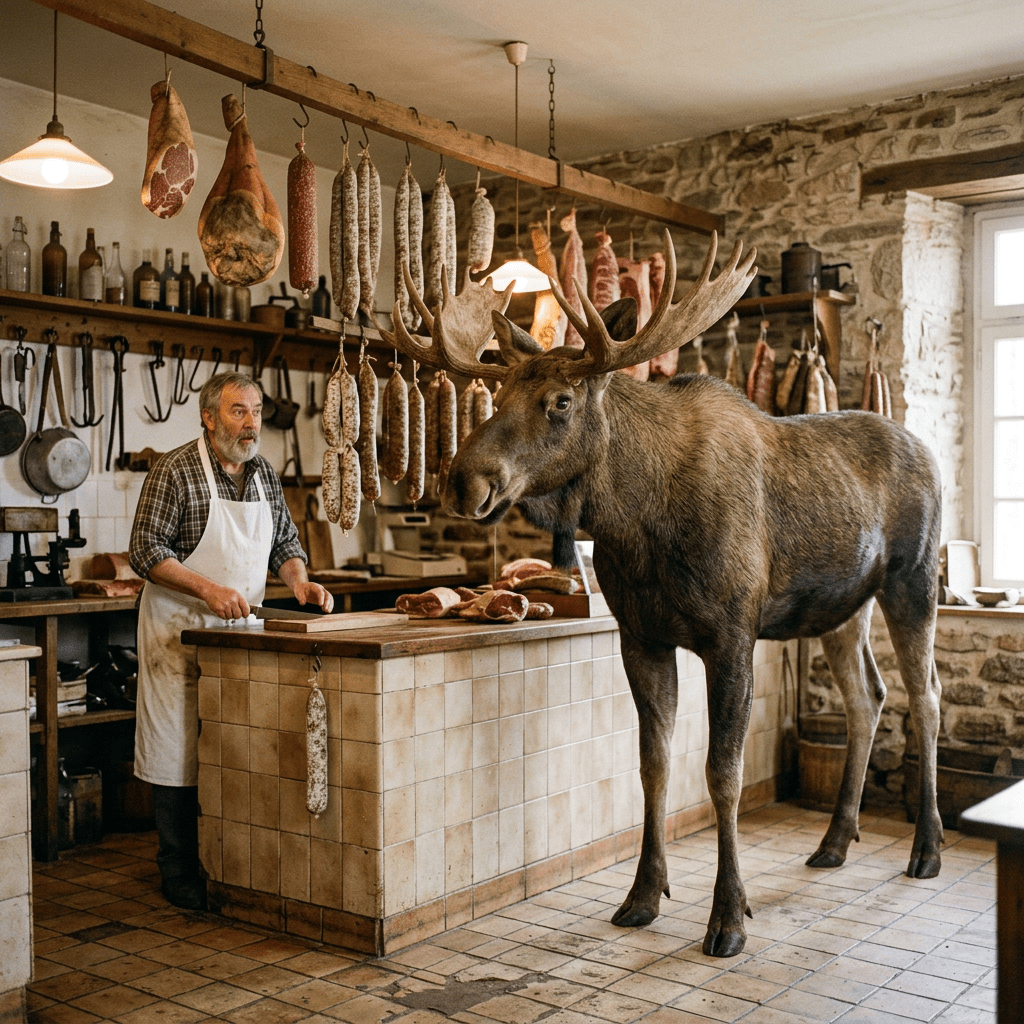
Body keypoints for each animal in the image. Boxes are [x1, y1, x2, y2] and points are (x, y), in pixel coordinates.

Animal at [375, 231, 943, 958]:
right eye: (496, 394)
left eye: (560, 400)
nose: (462, 481)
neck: (639, 525)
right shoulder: (640, 634)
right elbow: (652, 765)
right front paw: (643, 896)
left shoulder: (733, 635)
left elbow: (723, 774)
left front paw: (728, 918)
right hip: (841, 606)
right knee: (866, 697)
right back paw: (834, 842)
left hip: (913, 578)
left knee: (924, 695)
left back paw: (926, 849)